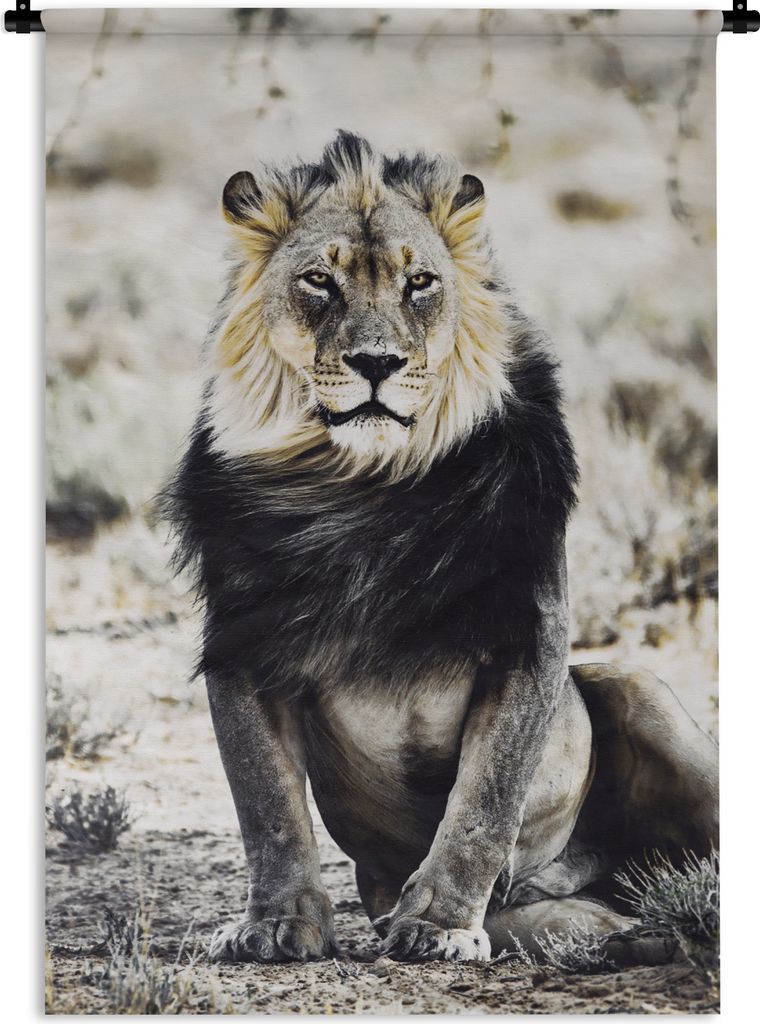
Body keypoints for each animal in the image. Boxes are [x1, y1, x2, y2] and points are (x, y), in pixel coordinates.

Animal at [165, 132, 718, 965]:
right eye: (319, 280)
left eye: (419, 282)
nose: (376, 364)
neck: (365, 487)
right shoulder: (241, 645)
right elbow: (267, 808)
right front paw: (278, 923)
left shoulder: (528, 636)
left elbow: (484, 800)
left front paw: (439, 926)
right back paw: (626, 937)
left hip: (637, 685)